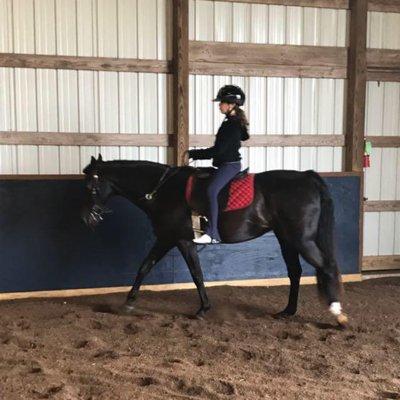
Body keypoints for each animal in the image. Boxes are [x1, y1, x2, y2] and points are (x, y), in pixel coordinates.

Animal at [80, 155, 346, 326]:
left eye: (91, 186)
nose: (87, 218)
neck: (162, 190)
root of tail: (307, 177)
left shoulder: (179, 239)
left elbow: (195, 274)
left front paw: (202, 309)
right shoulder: (167, 238)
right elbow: (145, 267)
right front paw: (127, 304)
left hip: (300, 239)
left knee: (326, 266)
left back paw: (337, 314)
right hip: (286, 239)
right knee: (295, 272)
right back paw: (288, 311)